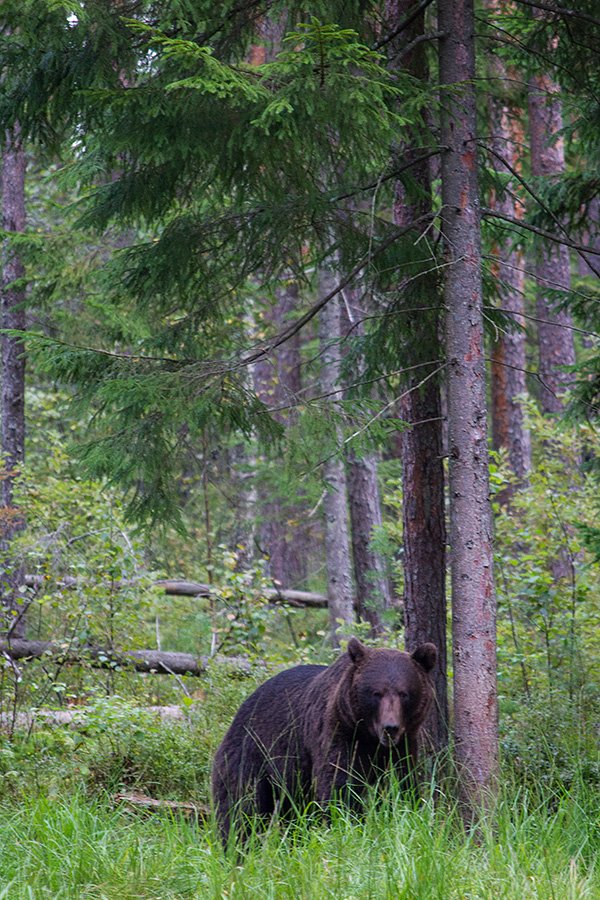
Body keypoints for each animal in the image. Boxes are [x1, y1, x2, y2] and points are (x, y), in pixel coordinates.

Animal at [211, 637, 437, 843]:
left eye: (404, 693)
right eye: (376, 693)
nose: (390, 728)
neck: (368, 738)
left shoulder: (403, 747)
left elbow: (402, 785)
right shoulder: (337, 733)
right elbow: (337, 786)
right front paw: (348, 825)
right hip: (252, 754)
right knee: (240, 806)